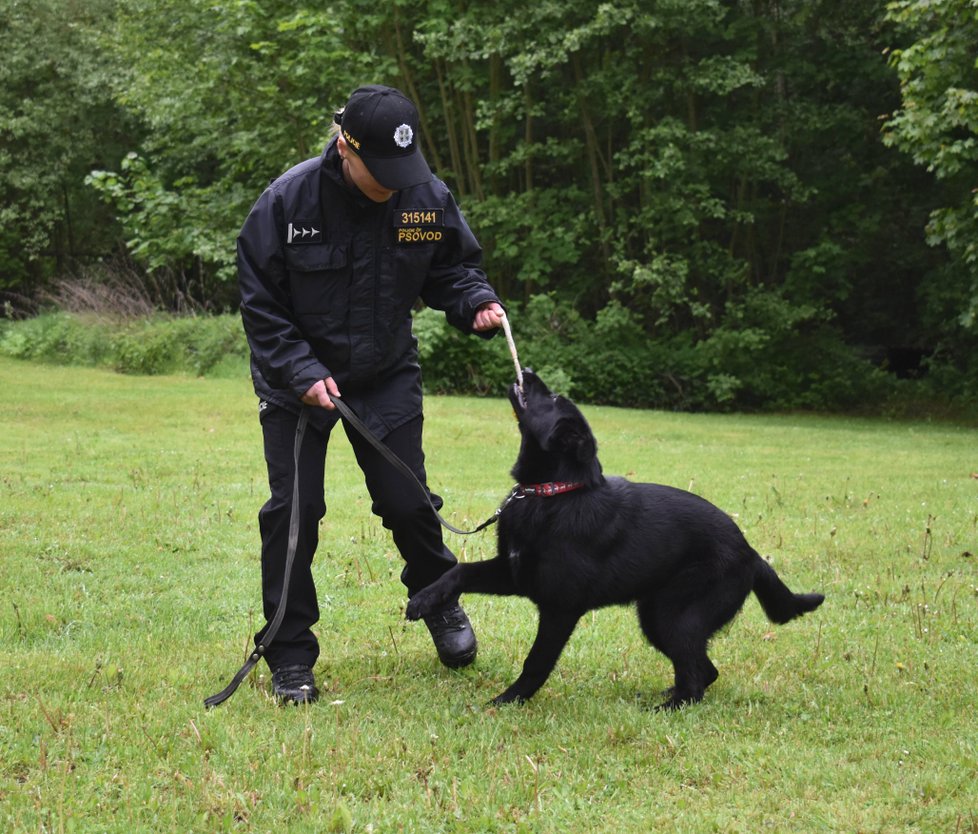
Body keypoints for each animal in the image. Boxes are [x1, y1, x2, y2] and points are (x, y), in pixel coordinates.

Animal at [406, 370, 824, 708]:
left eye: (552, 399)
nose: (527, 370)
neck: (553, 493)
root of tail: (751, 553)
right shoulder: (515, 574)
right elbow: (459, 571)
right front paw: (424, 600)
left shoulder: (560, 608)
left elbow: (537, 661)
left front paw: (509, 700)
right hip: (656, 616)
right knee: (704, 670)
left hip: (675, 615)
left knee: (696, 676)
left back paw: (667, 708)